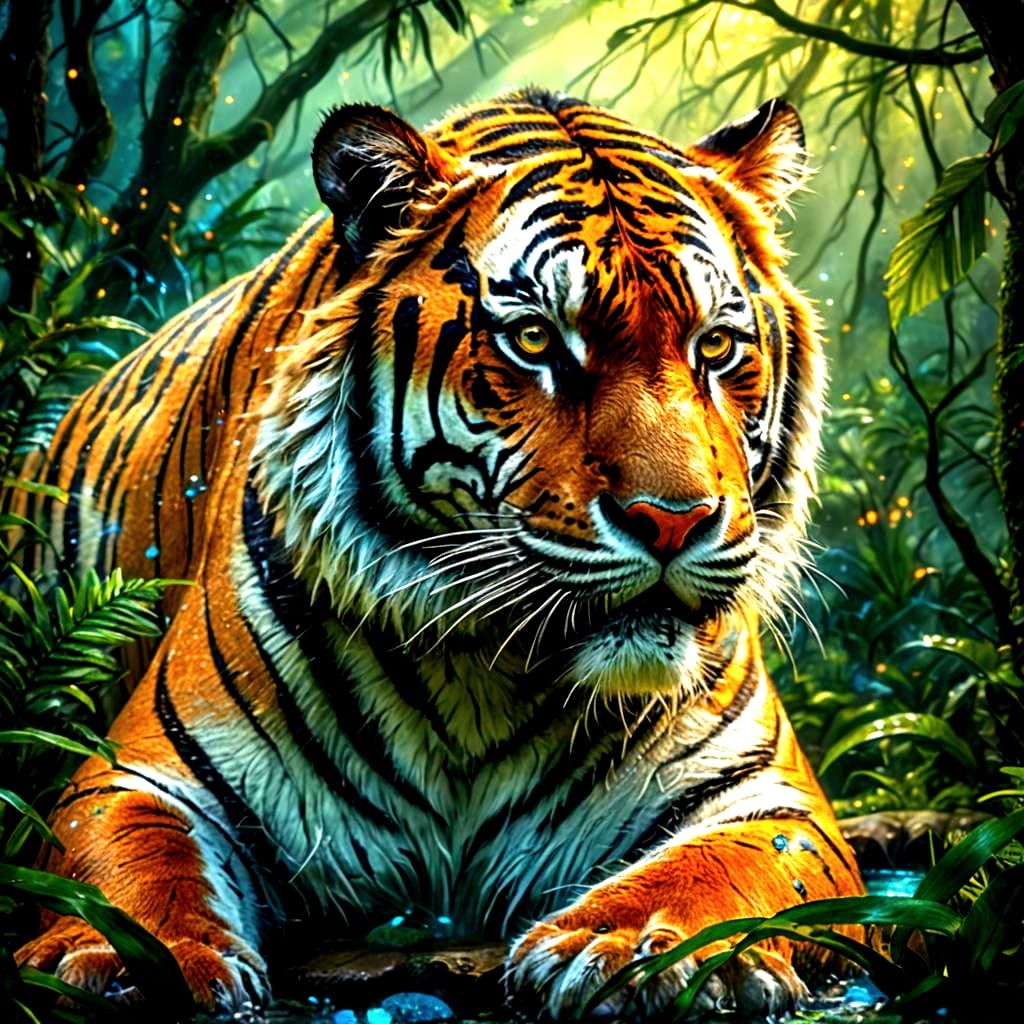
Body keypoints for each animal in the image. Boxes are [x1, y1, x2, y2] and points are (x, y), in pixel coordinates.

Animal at [14, 88, 864, 1018]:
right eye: (536, 341)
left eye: (714, 346)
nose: (674, 520)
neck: (485, 678)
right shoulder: (133, 773)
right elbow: (133, 871)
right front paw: (138, 963)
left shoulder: (772, 800)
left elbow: (718, 873)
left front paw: (633, 944)